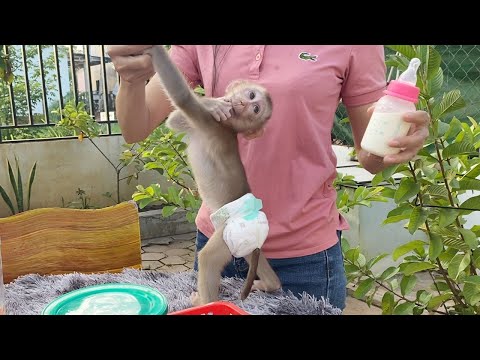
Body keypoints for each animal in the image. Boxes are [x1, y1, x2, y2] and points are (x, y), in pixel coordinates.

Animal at [148, 43, 280, 306]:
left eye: (255, 109)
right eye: (252, 96)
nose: (245, 105)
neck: (228, 126)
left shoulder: (208, 122)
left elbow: (182, 97)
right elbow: (174, 121)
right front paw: (219, 102)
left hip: (229, 236)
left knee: (208, 259)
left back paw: (202, 302)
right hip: (247, 244)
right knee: (263, 268)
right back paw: (270, 283)